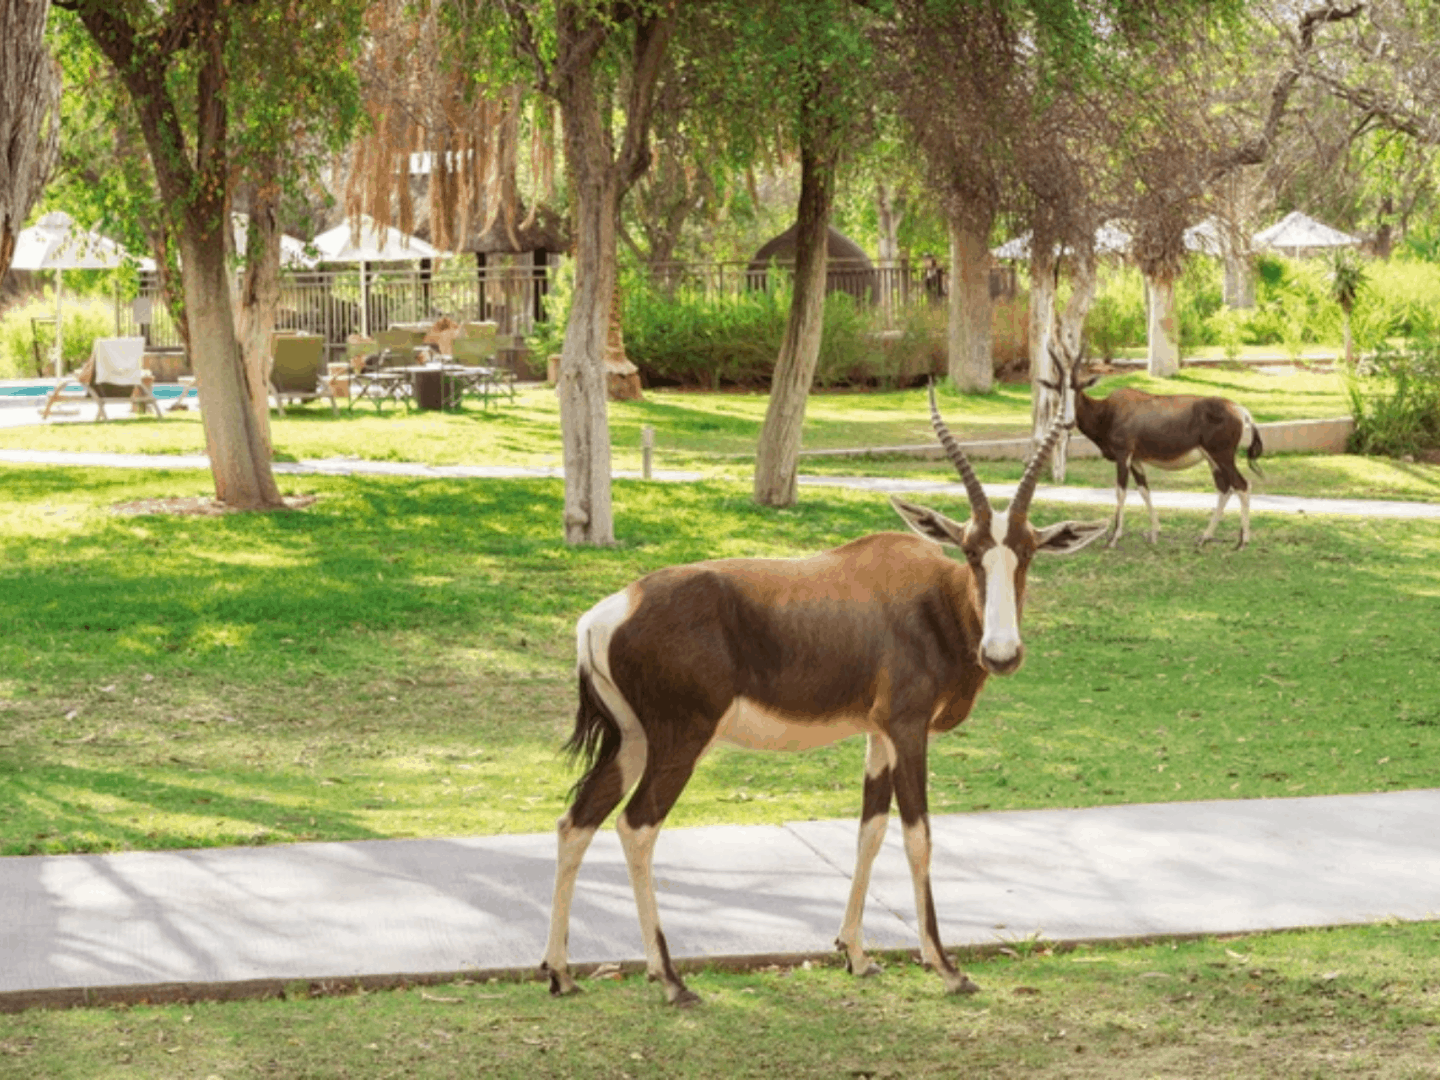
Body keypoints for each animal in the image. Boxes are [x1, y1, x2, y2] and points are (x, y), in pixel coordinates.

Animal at [544, 388, 1105, 1008]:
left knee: (577, 820)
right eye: (969, 550)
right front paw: (947, 967)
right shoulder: (908, 729)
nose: (1002, 653)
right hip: (680, 741)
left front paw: (855, 955)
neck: (931, 598)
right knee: (636, 825)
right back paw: (670, 979)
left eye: (1026, 552)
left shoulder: (878, 735)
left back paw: (561, 973)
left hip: (632, 741)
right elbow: (918, 835)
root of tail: (606, 614)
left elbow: (870, 830)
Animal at [1042, 347, 1267, 550]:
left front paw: (1114, 539)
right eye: (1059, 390)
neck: (1109, 411)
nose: (1068, 423)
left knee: (1242, 485)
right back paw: (1205, 538)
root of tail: (1240, 410)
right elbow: (1144, 490)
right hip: (1213, 459)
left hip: (1222, 456)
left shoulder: (1123, 456)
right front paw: (1154, 533)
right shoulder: (1136, 460)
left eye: (1078, 389)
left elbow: (1121, 492)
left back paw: (1242, 542)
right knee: (1225, 488)